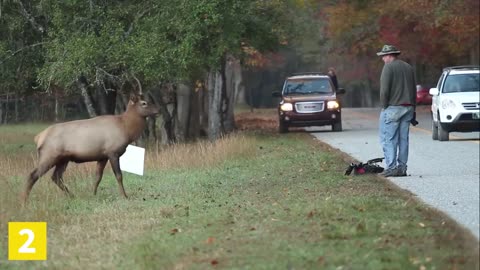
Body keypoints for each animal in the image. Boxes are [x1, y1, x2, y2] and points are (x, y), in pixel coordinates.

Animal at [21, 94, 160, 204]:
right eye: (144, 103)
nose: (158, 110)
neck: (127, 129)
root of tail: (38, 137)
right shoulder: (113, 152)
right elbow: (119, 175)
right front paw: (124, 196)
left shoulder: (103, 156)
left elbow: (97, 177)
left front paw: (93, 194)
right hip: (49, 155)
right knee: (33, 175)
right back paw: (24, 201)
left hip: (63, 159)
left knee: (56, 177)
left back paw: (72, 196)